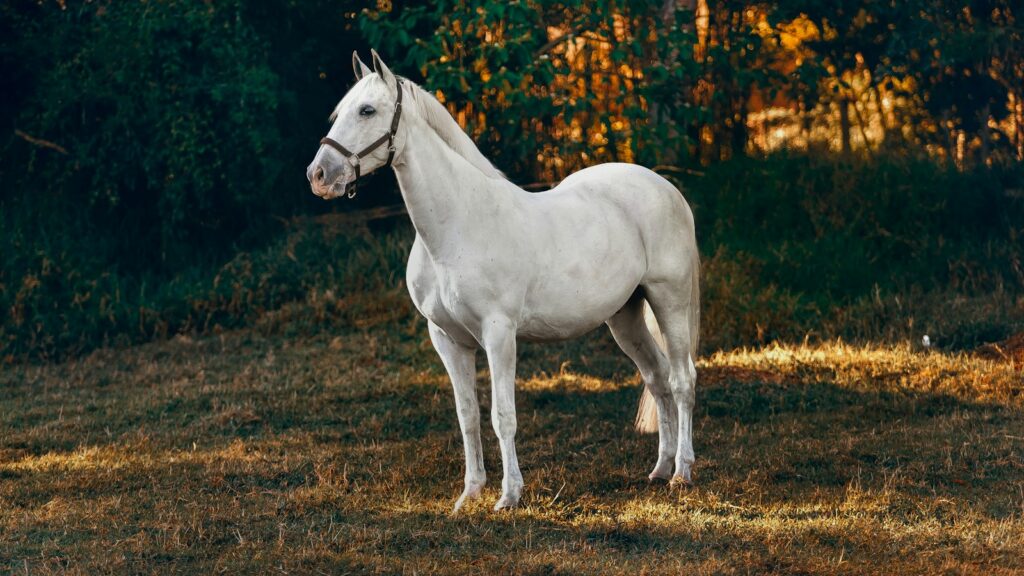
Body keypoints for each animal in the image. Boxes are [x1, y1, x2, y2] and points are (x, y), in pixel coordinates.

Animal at [307, 50, 700, 512]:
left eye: (367, 110)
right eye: (339, 112)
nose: (318, 175)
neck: (457, 225)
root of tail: (666, 188)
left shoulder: (499, 333)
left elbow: (502, 416)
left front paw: (508, 495)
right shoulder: (447, 339)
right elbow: (468, 416)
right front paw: (469, 493)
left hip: (669, 300)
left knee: (682, 380)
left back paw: (682, 472)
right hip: (625, 316)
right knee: (657, 378)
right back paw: (659, 469)